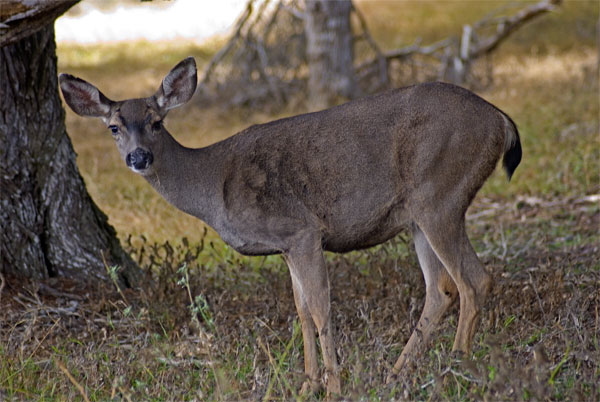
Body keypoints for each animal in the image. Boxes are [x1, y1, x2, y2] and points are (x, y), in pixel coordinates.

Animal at [61, 56, 520, 396]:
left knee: (473, 281)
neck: (214, 185)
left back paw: (455, 369)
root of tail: (501, 120)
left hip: (440, 196)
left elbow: (319, 308)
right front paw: (307, 385)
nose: (138, 157)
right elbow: (299, 310)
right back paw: (398, 374)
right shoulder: (284, 245)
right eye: (114, 127)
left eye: (157, 122)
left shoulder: (303, 230)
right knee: (441, 289)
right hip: (419, 217)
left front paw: (333, 388)